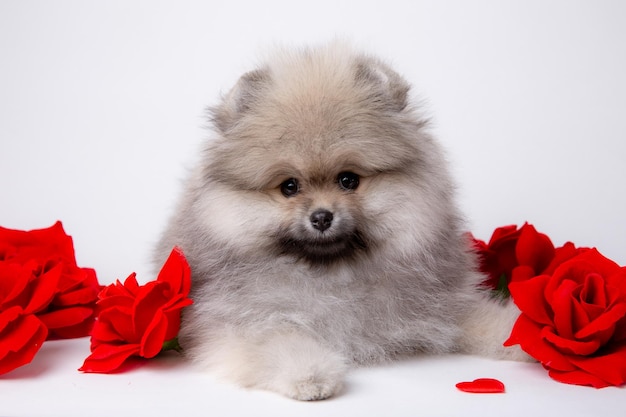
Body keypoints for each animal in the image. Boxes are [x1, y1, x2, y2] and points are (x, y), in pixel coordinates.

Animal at [154, 43, 524, 400]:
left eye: (348, 180)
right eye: (289, 186)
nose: (321, 216)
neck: (333, 274)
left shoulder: (447, 304)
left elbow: (485, 318)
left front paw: (520, 335)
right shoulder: (242, 322)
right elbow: (280, 341)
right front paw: (310, 375)